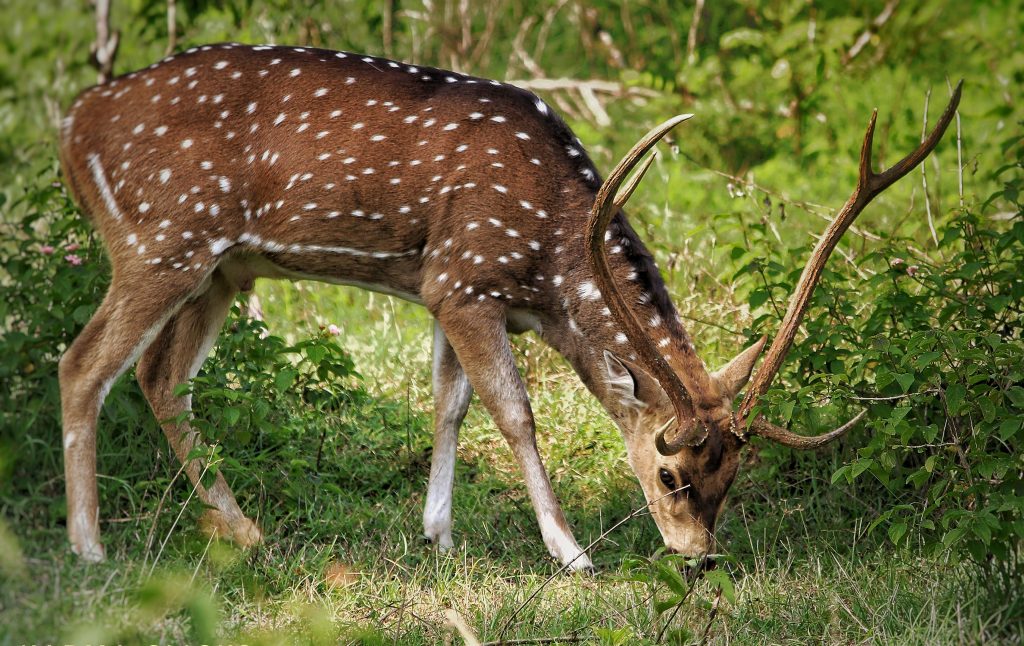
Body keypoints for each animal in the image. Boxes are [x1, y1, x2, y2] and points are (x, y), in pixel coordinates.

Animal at [59, 41, 962, 569]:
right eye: (670, 472)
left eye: (734, 474)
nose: (700, 557)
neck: (549, 263)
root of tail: (72, 126)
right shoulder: (464, 279)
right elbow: (514, 410)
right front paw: (569, 552)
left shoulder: (439, 288)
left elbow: (449, 402)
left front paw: (437, 532)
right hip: (162, 238)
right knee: (83, 365)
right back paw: (91, 547)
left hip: (221, 269)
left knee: (161, 379)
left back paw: (243, 532)